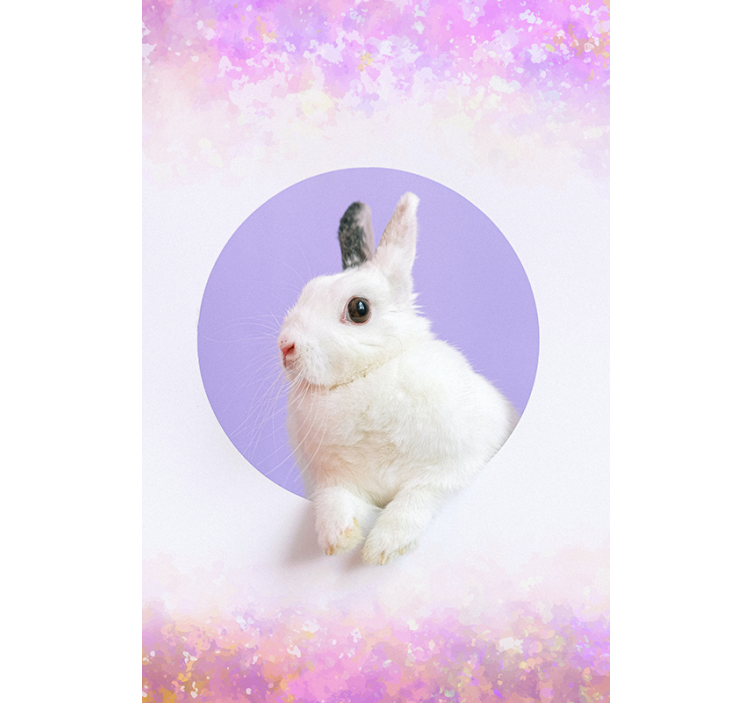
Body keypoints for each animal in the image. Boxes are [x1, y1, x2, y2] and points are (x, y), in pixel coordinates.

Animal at [277, 193, 518, 565]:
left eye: (359, 309)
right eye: (308, 291)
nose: (285, 346)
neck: (368, 376)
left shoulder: (453, 467)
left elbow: (415, 499)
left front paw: (382, 547)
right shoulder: (331, 481)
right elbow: (335, 501)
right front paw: (337, 539)